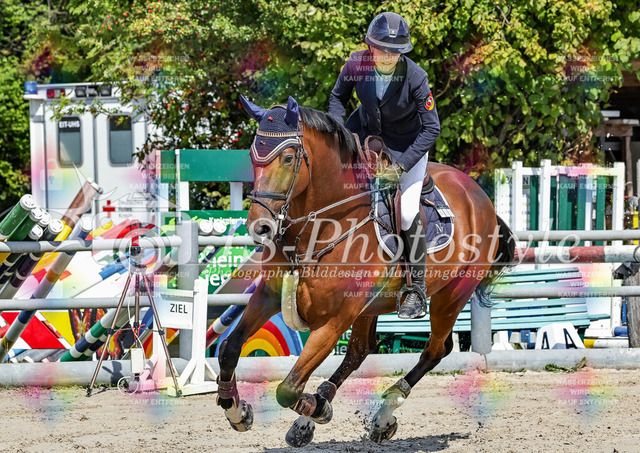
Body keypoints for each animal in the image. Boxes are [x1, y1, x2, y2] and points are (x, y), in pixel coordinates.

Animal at [216, 94, 515, 447]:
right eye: (253, 156)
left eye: (288, 158)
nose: (259, 227)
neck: (320, 225)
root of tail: (479, 195)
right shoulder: (268, 296)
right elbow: (229, 348)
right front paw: (236, 411)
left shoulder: (334, 320)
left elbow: (288, 389)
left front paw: (319, 409)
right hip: (371, 307)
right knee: (359, 352)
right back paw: (310, 418)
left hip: (451, 296)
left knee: (434, 350)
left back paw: (381, 414)